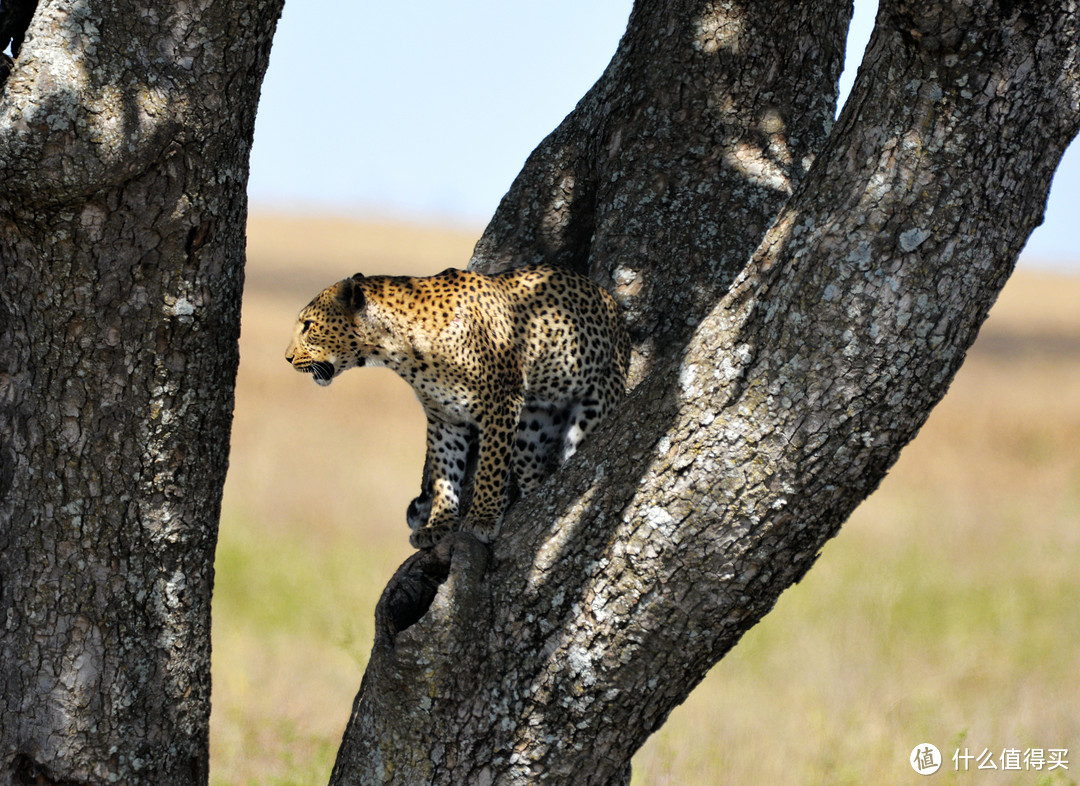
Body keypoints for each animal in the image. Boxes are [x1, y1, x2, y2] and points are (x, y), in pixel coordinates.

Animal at [287, 266, 630, 550]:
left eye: (308, 325)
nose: (287, 357)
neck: (400, 351)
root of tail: (614, 308)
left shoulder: (500, 403)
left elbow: (490, 466)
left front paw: (482, 519)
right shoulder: (444, 418)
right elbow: (444, 472)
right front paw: (438, 524)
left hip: (594, 402)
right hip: (532, 426)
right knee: (532, 467)